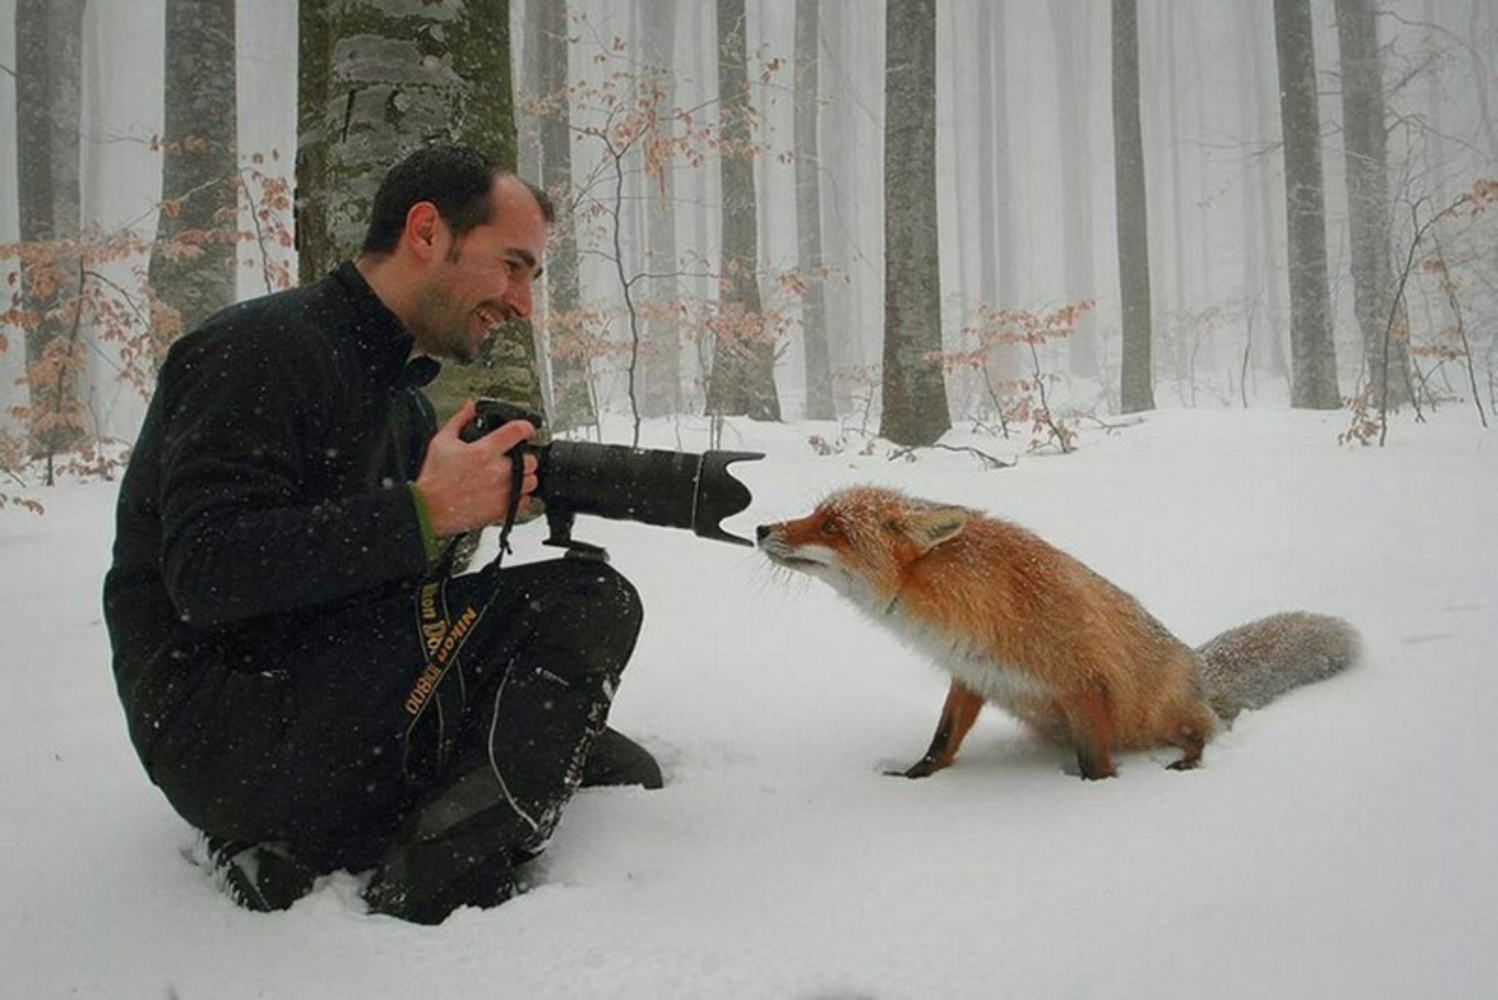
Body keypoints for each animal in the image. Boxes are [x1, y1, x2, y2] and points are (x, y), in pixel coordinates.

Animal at [760, 485, 1360, 778]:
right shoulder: (972, 675)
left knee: (1204, 732)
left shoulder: (1085, 684)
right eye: (815, 514)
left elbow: (1095, 765)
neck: (974, 604)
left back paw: (1188, 761)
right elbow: (941, 742)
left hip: (1159, 713)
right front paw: (915, 779)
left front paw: (1093, 797)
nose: (763, 527)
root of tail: (1199, 664)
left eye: (832, 527)